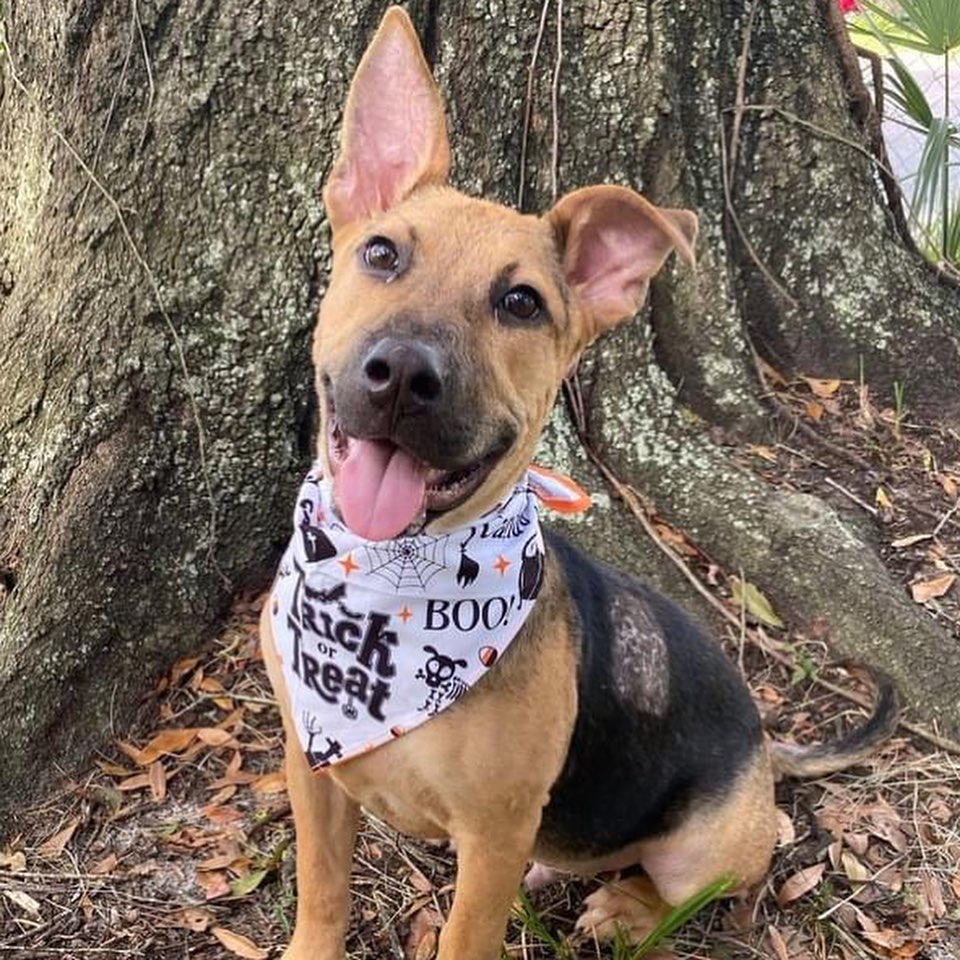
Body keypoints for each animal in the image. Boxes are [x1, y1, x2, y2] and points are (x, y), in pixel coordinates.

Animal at [258, 9, 896, 960]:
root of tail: (764, 749)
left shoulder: (490, 836)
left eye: (521, 304)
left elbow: (464, 937)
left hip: (701, 847)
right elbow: (322, 894)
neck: (385, 590)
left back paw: (626, 908)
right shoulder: (313, 764)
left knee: (702, 887)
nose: (402, 374)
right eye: (380, 253)